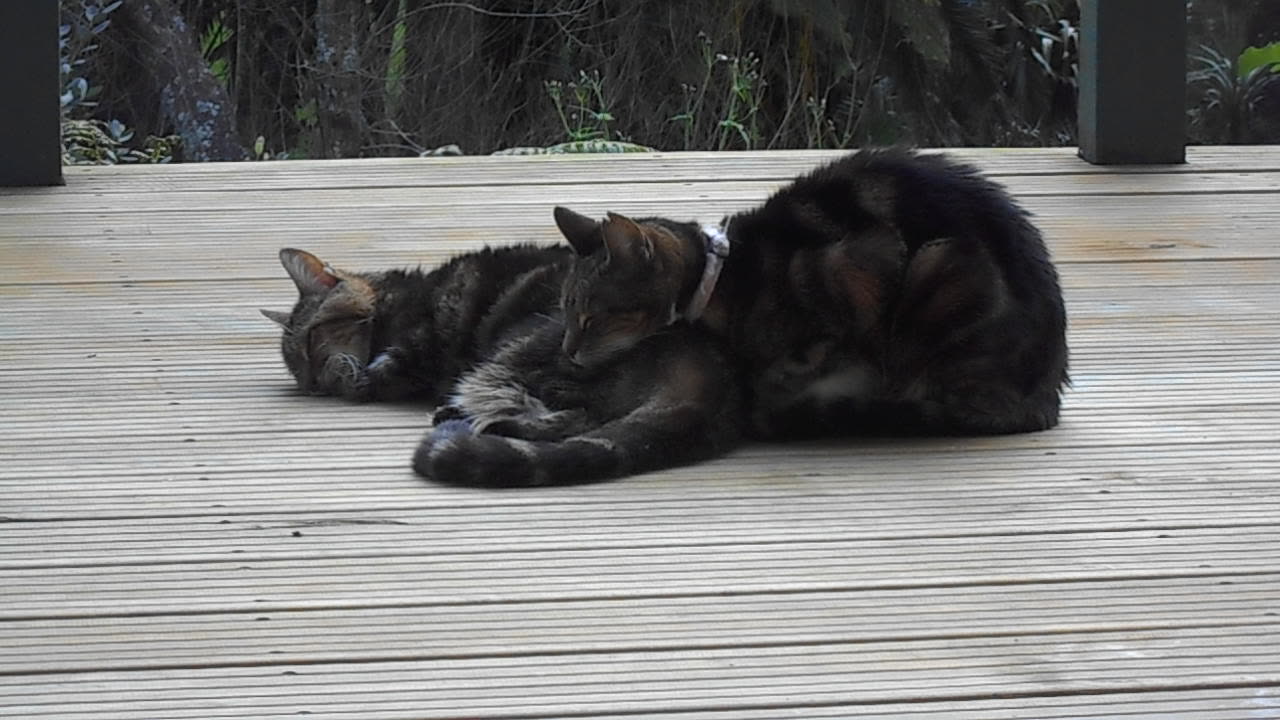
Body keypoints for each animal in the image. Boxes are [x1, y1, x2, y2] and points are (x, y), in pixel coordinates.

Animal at [261, 243, 747, 484]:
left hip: (520, 348)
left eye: (311, 340)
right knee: (578, 414)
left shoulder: (417, 340)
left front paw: (362, 378)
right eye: (299, 374)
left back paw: (463, 416)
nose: (315, 384)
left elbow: (384, 368)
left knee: (560, 410)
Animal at [555, 148, 1064, 435]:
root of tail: (1046, 393)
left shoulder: (863, 267)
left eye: (591, 317)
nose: (567, 351)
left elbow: (805, 363)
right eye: (567, 310)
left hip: (938, 268)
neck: (723, 277)